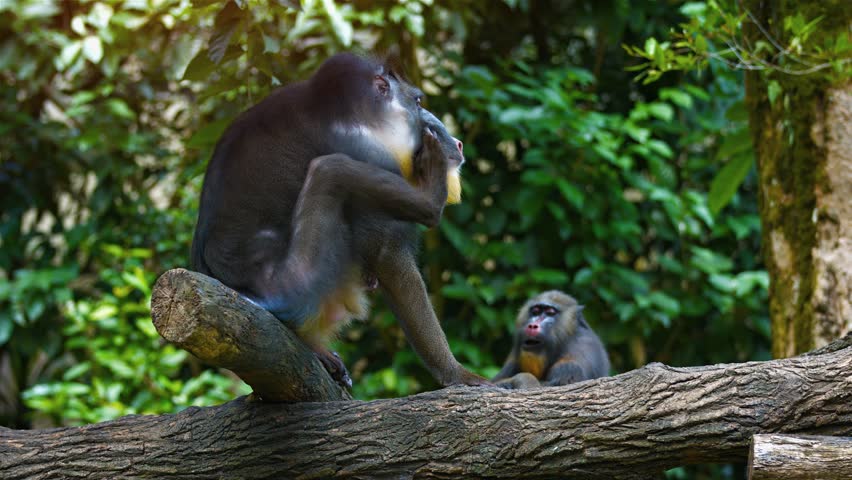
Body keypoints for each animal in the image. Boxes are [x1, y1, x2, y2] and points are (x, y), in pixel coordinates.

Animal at [190, 53, 487, 389]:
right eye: (418, 101)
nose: (457, 143)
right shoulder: (366, 151)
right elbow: (389, 255)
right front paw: (456, 373)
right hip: (294, 282)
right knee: (331, 170)